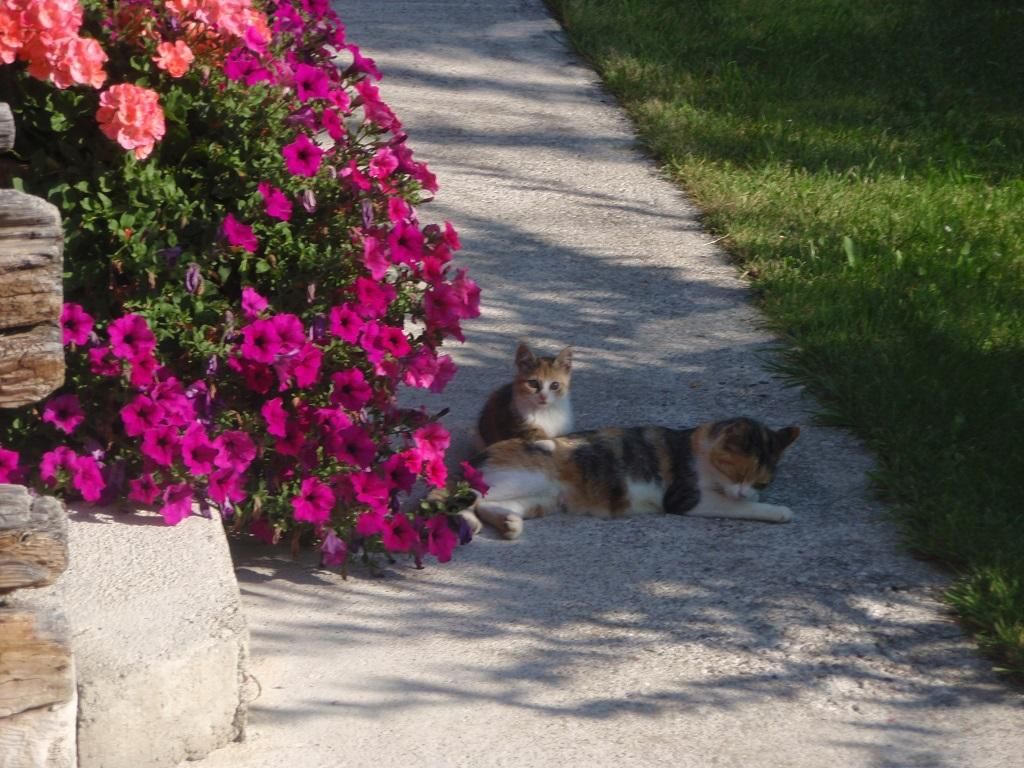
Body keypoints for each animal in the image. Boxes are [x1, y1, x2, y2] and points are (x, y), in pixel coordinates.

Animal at [461, 416, 800, 540]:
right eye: (738, 472)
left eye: (762, 481)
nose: (745, 491)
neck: (697, 449)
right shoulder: (685, 498)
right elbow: (736, 506)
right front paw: (777, 511)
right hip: (527, 475)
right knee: (469, 497)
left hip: (544, 498)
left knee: (489, 504)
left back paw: (509, 524)